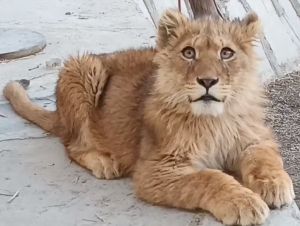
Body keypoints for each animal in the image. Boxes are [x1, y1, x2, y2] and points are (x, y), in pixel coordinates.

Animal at [2, 7, 294, 225]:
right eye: (189, 52)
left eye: (227, 53)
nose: (208, 81)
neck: (214, 120)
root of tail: (59, 114)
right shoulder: (155, 170)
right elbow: (210, 178)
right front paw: (243, 202)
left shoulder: (254, 138)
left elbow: (264, 158)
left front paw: (275, 184)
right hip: (82, 67)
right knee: (71, 144)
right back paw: (103, 162)